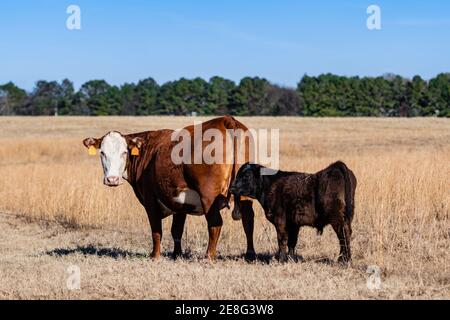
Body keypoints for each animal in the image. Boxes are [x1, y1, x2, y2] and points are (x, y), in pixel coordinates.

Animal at [82, 117, 255, 260]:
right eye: (102, 152)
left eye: (124, 152)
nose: (112, 179)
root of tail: (226, 120)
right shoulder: (180, 202)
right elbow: (176, 230)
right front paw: (176, 254)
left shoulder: (150, 200)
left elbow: (156, 230)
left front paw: (155, 255)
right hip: (245, 195)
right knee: (248, 219)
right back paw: (250, 254)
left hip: (209, 196)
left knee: (215, 223)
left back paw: (209, 256)